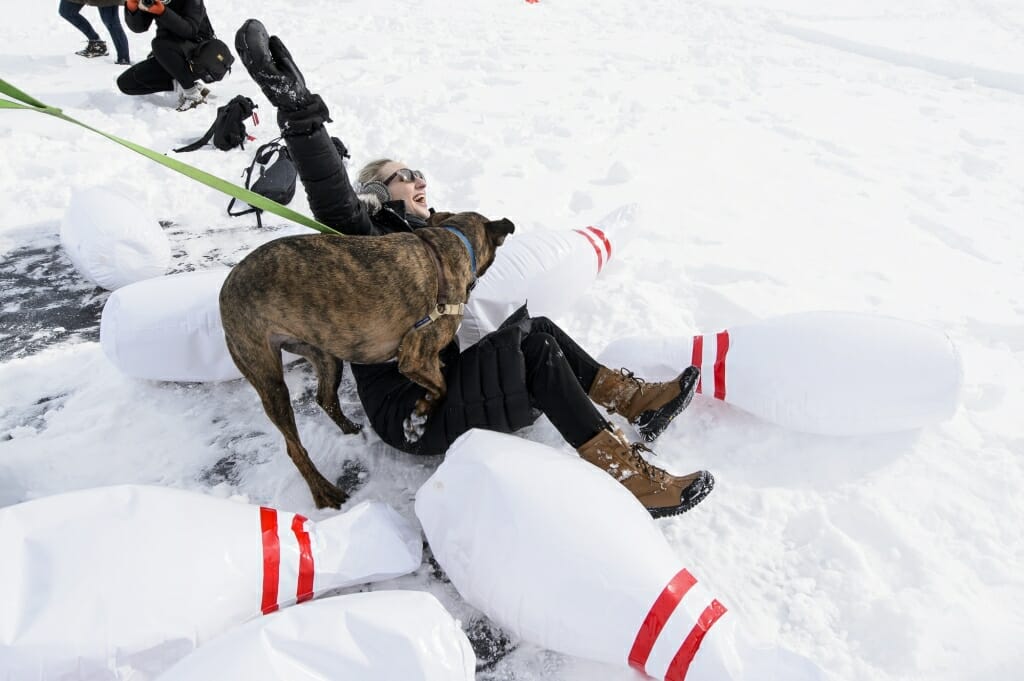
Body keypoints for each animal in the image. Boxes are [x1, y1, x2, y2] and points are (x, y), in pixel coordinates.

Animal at [221, 209, 516, 507]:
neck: (455, 240)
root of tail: (225, 288)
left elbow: (439, 376)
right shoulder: (415, 356)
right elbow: (442, 387)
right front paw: (419, 418)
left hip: (324, 353)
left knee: (326, 398)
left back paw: (351, 430)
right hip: (268, 377)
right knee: (294, 447)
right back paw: (323, 491)